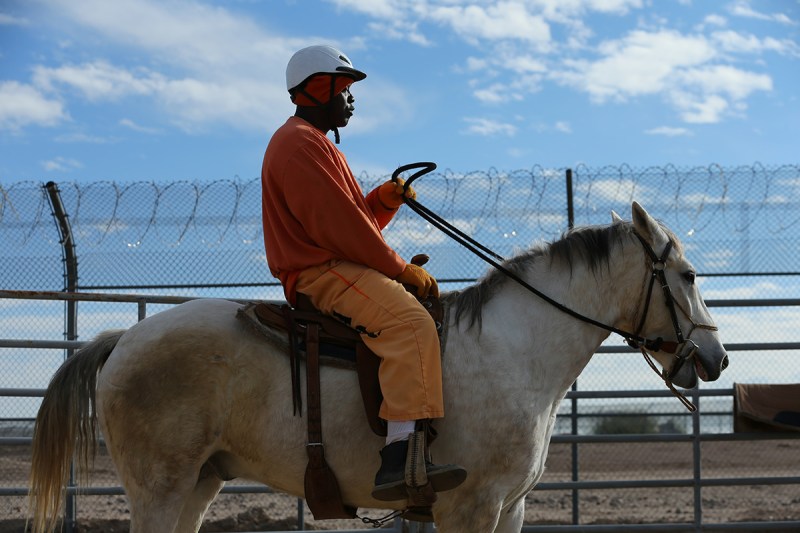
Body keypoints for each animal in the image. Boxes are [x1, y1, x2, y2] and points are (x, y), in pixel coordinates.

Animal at [29, 203, 732, 532]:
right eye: (690, 275)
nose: (717, 357)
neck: (515, 348)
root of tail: (123, 338)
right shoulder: (471, 508)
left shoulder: (509, 509)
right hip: (160, 487)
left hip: (198, 484)